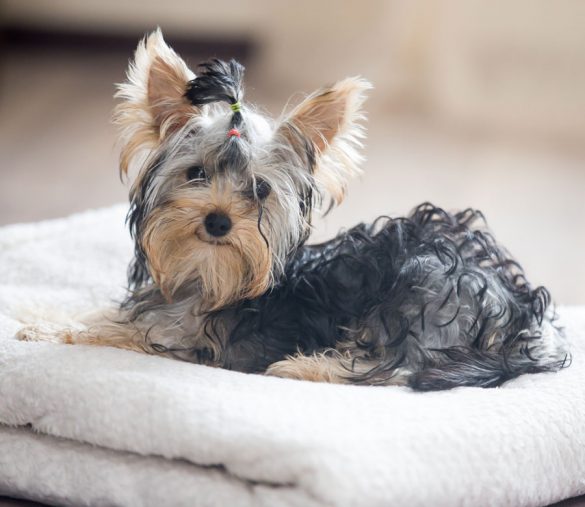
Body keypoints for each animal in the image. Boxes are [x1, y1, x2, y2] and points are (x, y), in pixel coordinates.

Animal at [17, 29, 564, 390]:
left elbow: (110, 333)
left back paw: (303, 366)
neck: (204, 275)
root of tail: (520, 314)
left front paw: (48, 329)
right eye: (196, 174)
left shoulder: (188, 340)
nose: (217, 221)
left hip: (426, 288)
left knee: (397, 367)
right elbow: (100, 313)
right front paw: (41, 311)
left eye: (260, 190)